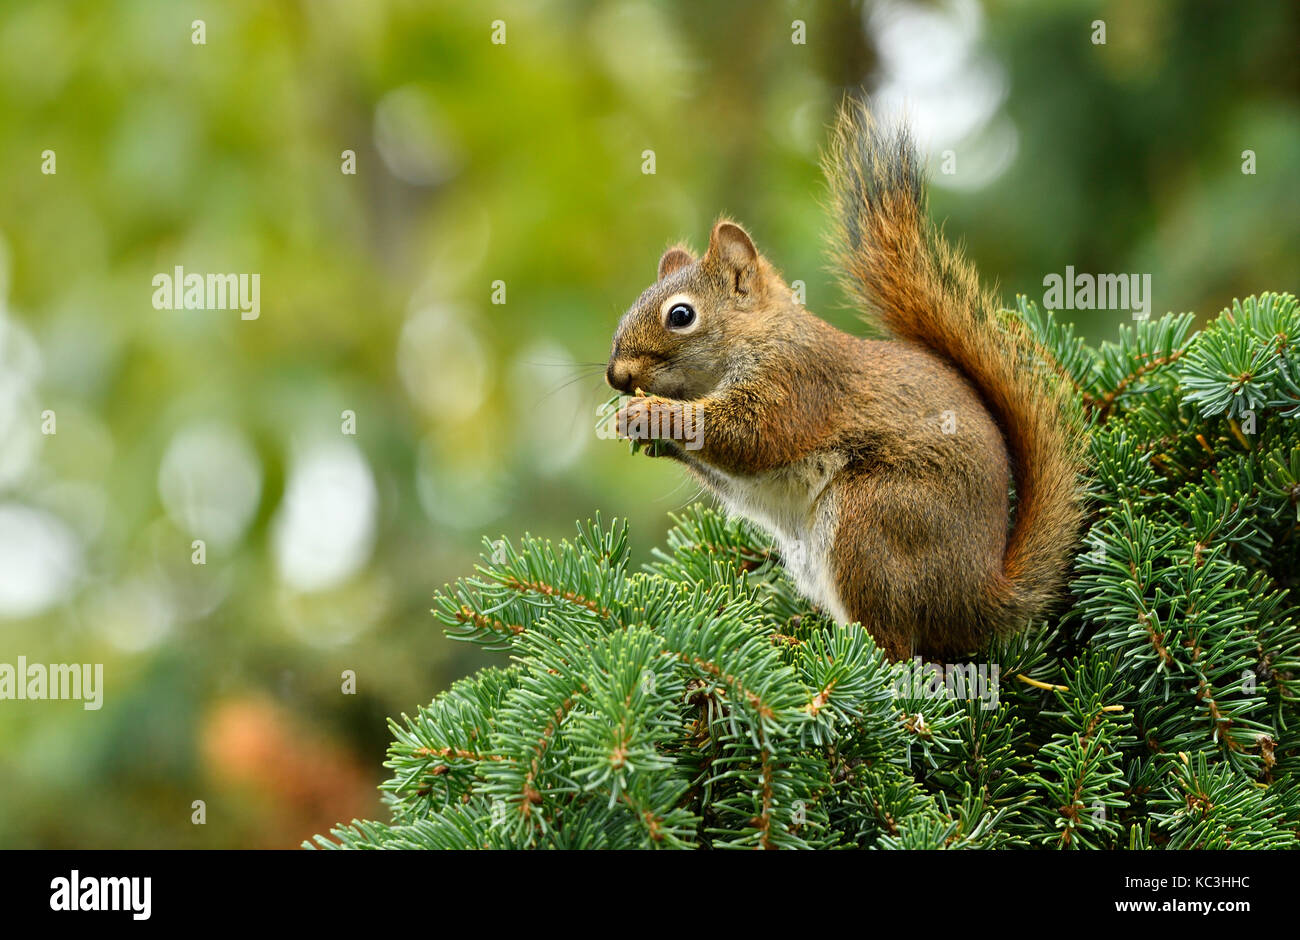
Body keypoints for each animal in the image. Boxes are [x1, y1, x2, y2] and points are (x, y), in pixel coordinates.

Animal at [603, 101, 1086, 662]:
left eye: (681, 315)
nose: (616, 376)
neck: (759, 336)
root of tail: (978, 598)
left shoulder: (797, 381)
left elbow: (753, 437)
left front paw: (653, 413)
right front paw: (637, 428)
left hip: (872, 520)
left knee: (893, 645)